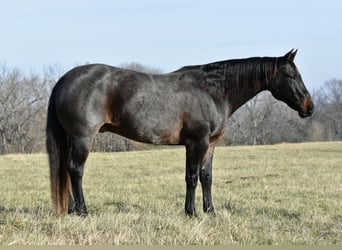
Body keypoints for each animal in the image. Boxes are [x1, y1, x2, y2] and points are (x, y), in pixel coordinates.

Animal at [46, 49, 314, 217]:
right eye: (291, 75)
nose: (309, 107)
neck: (213, 92)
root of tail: (64, 79)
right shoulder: (197, 142)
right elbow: (192, 177)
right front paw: (191, 212)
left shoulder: (210, 144)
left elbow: (206, 177)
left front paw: (210, 212)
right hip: (82, 139)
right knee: (75, 171)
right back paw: (83, 211)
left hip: (71, 140)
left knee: (66, 172)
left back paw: (71, 209)